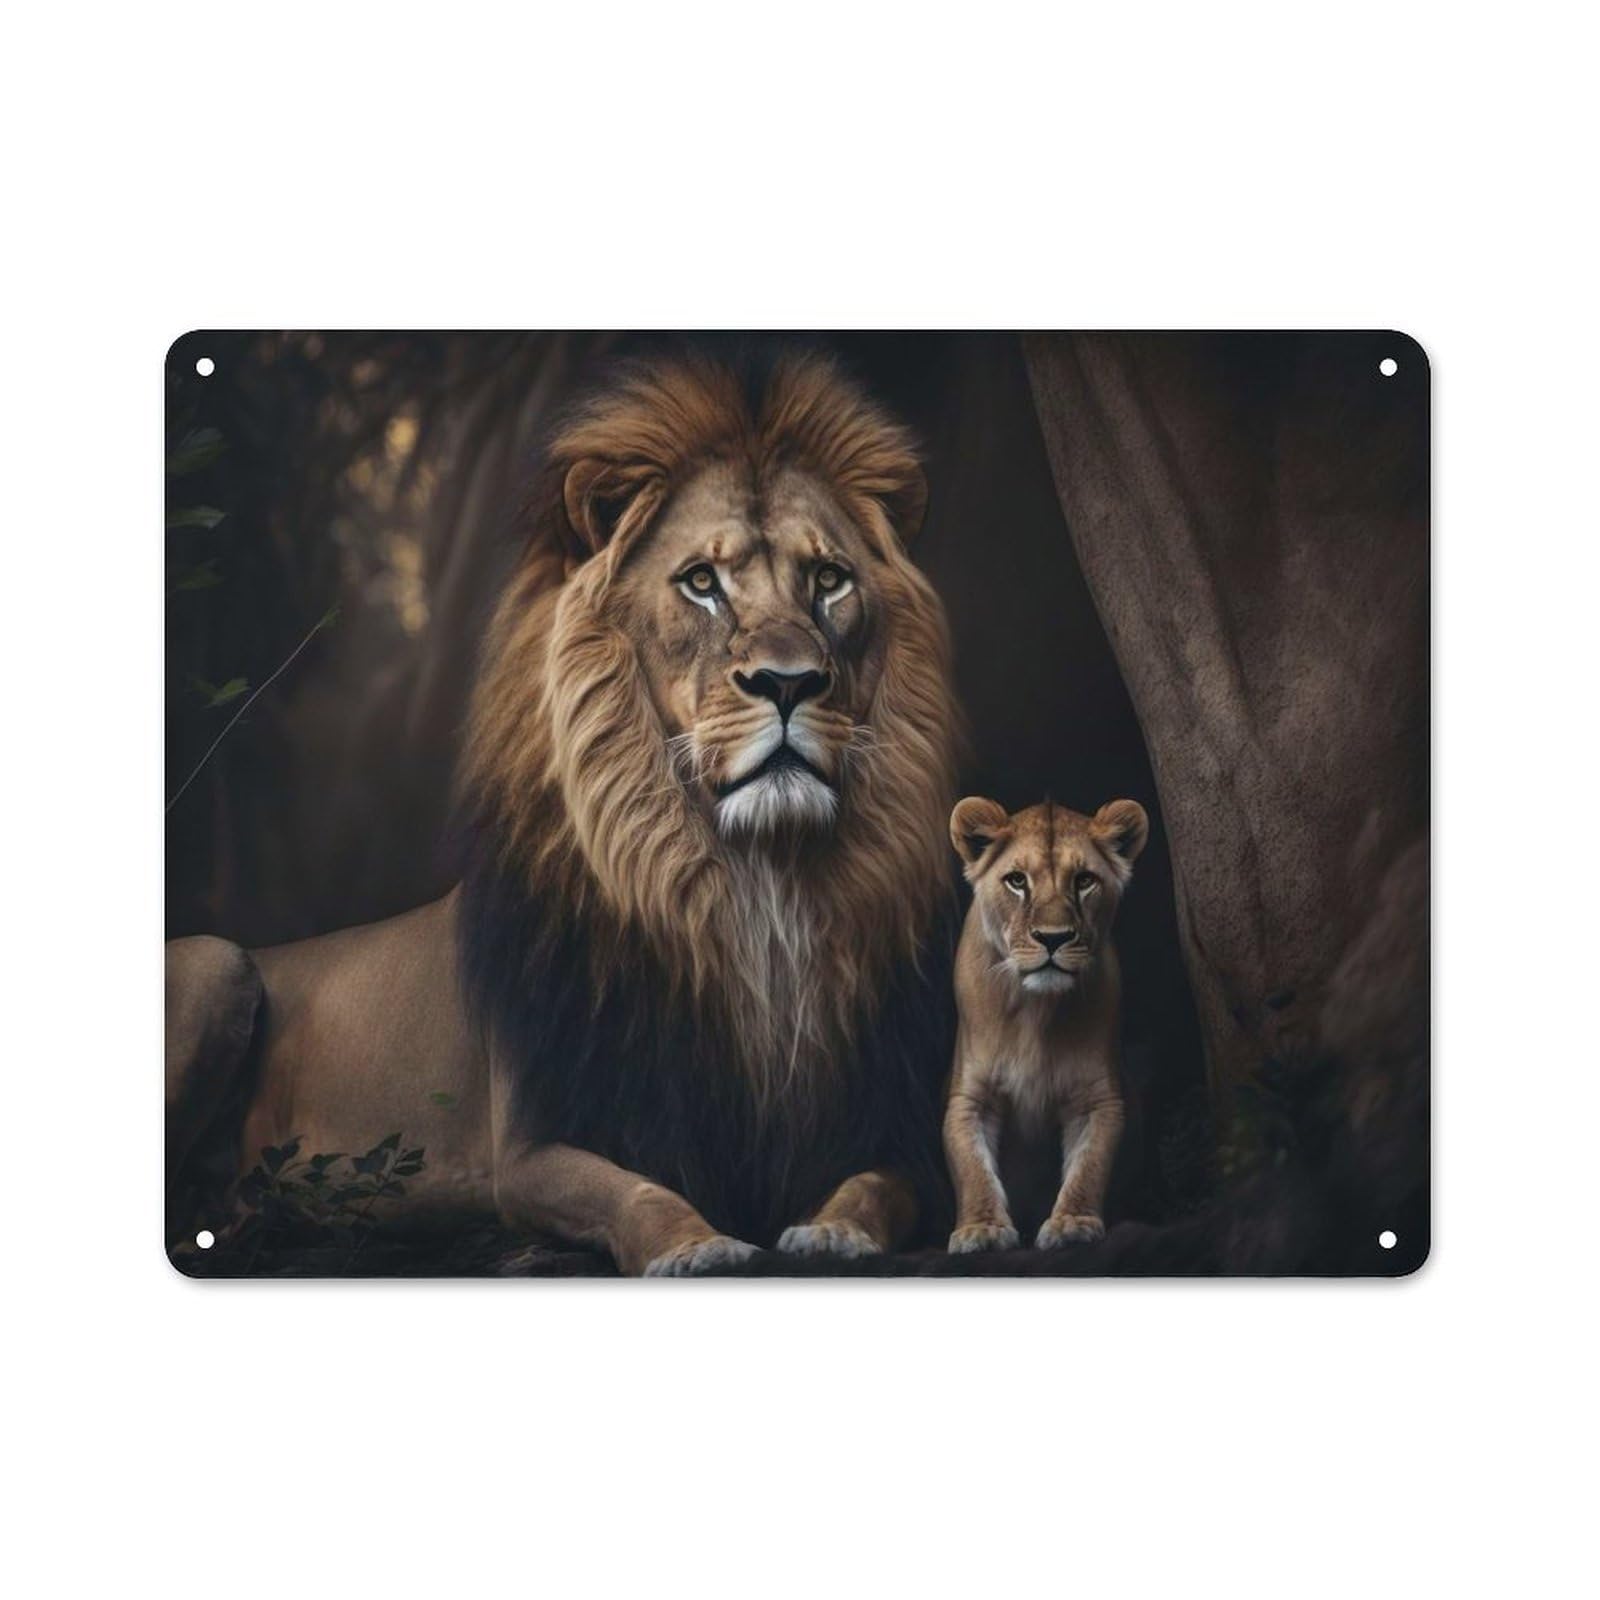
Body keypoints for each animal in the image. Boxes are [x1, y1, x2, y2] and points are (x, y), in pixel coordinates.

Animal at [166, 351, 959, 1275]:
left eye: (829, 579)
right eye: (702, 583)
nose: (791, 682)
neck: (753, 894)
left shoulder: (885, 1126)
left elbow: (883, 1184)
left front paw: (833, 1230)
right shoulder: (529, 1152)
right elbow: (637, 1191)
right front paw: (696, 1246)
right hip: (218, 962)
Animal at [942, 795, 1147, 1253]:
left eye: (1085, 880)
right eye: (1017, 881)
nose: (1053, 938)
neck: (1033, 1015)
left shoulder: (1097, 1099)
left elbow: (1089, 1167)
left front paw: (1072, 1222)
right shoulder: (970, 1096)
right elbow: (972, 1168)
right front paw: (982, 1228)